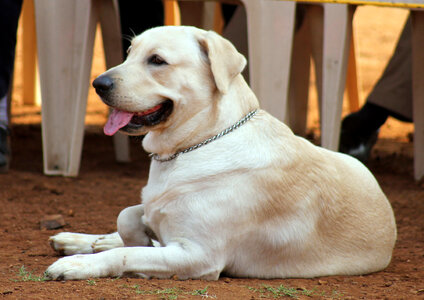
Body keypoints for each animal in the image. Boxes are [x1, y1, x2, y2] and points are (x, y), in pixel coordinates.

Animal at [46, 25, 398, 282]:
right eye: (129, 53)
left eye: (157, 60)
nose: (98, 83)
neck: (200, 142)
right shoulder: (159, 213)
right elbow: (127, 216)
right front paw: (125, 238)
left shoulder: (199, 255)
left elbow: (130, 252)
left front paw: (79, 265)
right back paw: (79, 239)